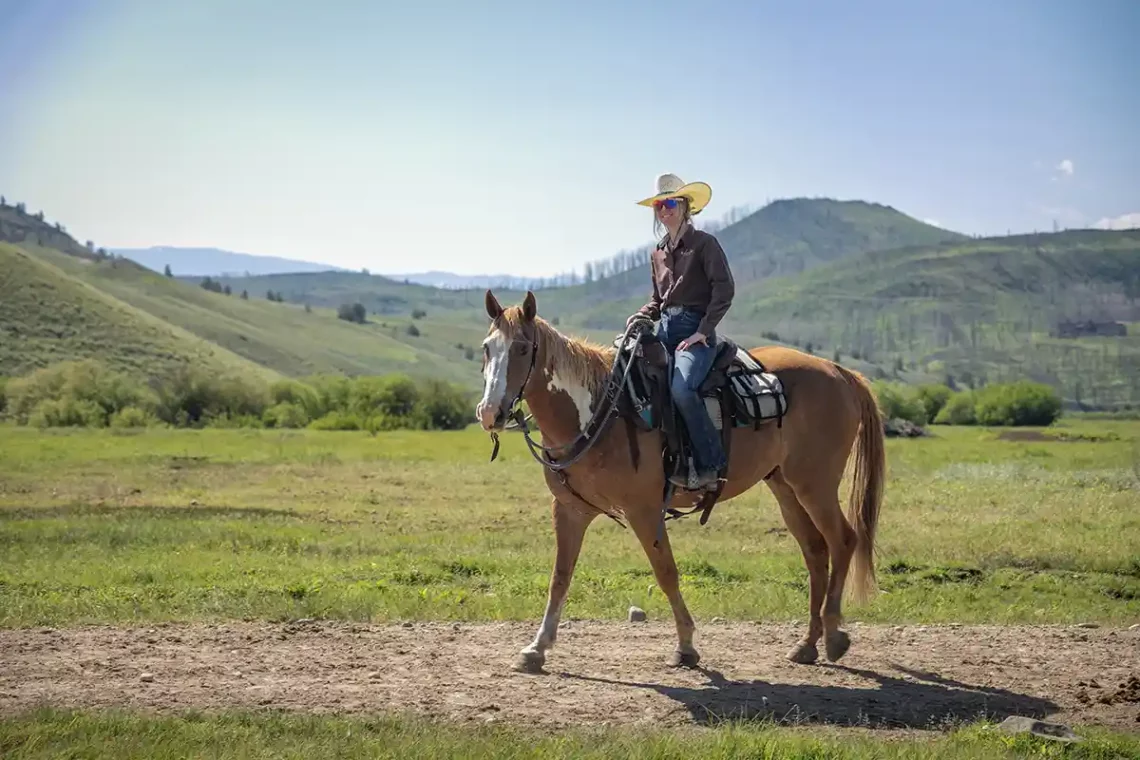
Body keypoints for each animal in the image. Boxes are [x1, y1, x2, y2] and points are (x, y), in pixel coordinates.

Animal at [476, 289, 884, 669]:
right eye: (487, 348)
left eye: (523, 348)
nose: (490, 412)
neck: (600, 412)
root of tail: (839, 371)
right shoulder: (569, 511)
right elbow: (560, 576)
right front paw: (536, 648)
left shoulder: (643, 510)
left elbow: (666, 572)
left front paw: (686, 646)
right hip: (785, 487)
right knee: (815, 551)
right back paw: (807, 644)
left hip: (816, 484)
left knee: (843, 540)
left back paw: (834, 636)